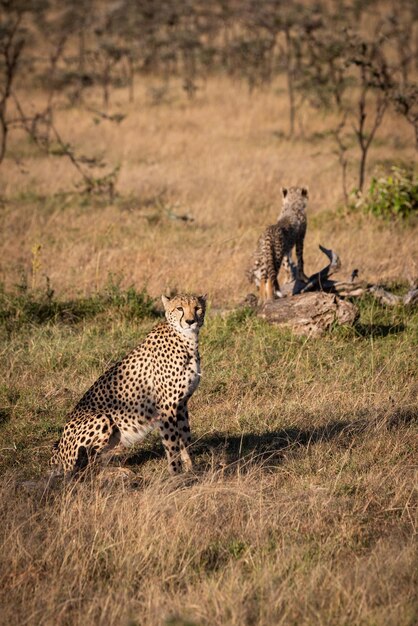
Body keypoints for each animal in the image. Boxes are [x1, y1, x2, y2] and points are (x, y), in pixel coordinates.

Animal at [49, 292, 207, 472]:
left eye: (197, 308)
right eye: (180, 308)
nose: (190, 321)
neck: (187, 340)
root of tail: (58, 451)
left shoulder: (181, 404)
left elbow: (185, 438)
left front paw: (191, 469)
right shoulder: (166, 406)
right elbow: (172, 443)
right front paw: (176, 473)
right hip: (102, 418)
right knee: (86, 467)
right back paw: (118, 473)